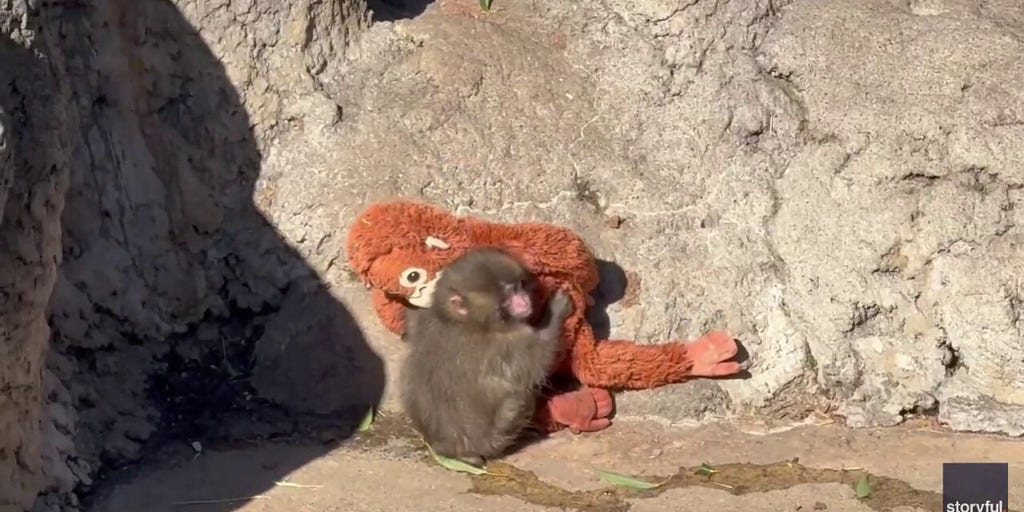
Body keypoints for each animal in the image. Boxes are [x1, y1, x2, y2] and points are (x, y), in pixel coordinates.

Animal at [399, 247, 574, 467]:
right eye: (507, 295)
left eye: (518, 287)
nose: (524, 300)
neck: (467, 321)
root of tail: (448, 449)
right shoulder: (507, 343)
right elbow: (538, 360)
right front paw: (556, 310)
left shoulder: (424, 316)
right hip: (496, 436)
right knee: (518, 399)